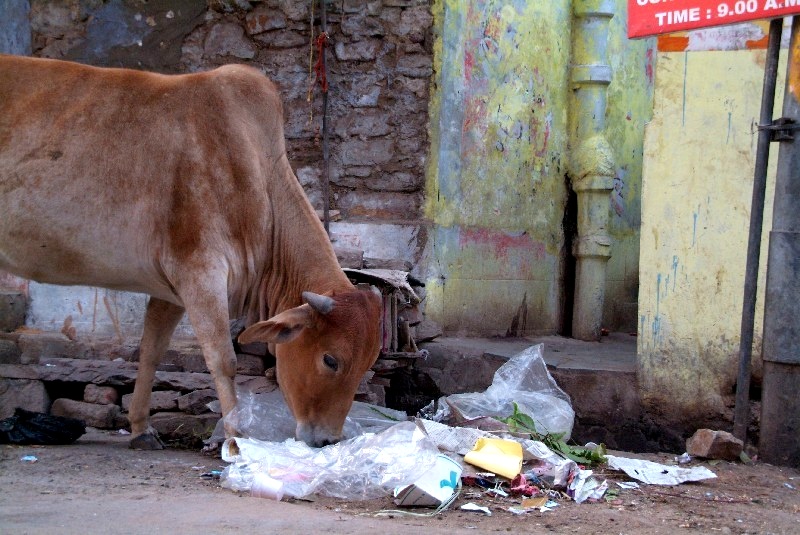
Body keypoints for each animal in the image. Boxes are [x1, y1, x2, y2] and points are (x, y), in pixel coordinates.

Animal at [0, 54, 383, 449]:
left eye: (367, 363)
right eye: (331, 360)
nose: (327, 440)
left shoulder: (170, 288)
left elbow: (151, 352)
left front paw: (141, 428)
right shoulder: (200, 271)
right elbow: (223, 360)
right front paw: (235, 439)